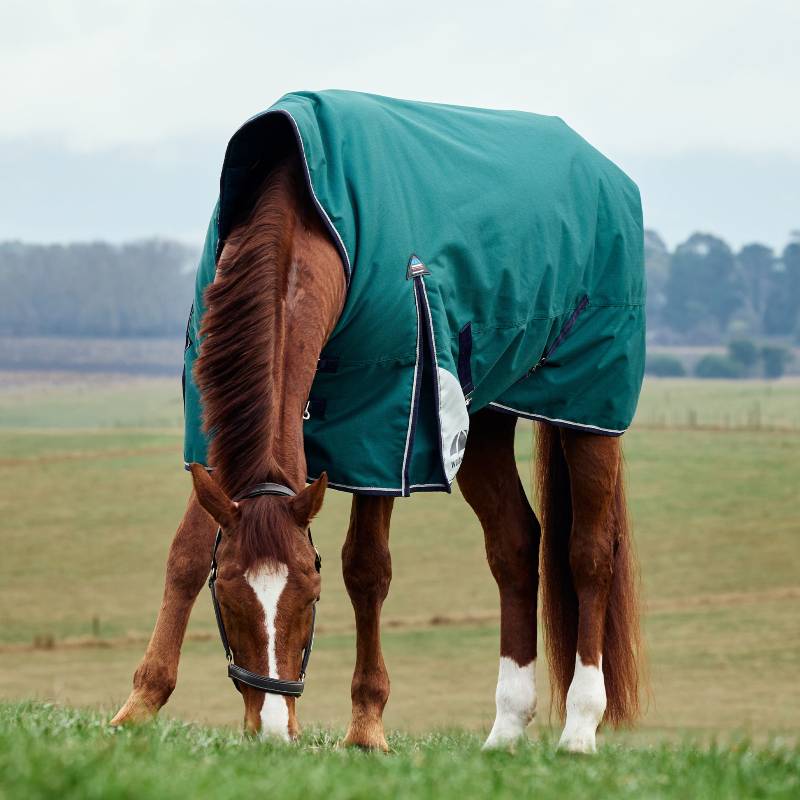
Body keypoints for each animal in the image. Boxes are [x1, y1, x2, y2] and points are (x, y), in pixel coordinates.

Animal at [111, 92, 642, 753]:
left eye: (310, 597)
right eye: (228, 593)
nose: (274, 730)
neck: (308, 218)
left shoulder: (382, 427)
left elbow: (366, 568)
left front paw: (366, 726)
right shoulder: (210, 432)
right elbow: (184, 554)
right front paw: (139, 705)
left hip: (589, 411)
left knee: (589, 553)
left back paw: (579, 728)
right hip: (480, 421)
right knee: (516, 546)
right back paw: (504, 730)